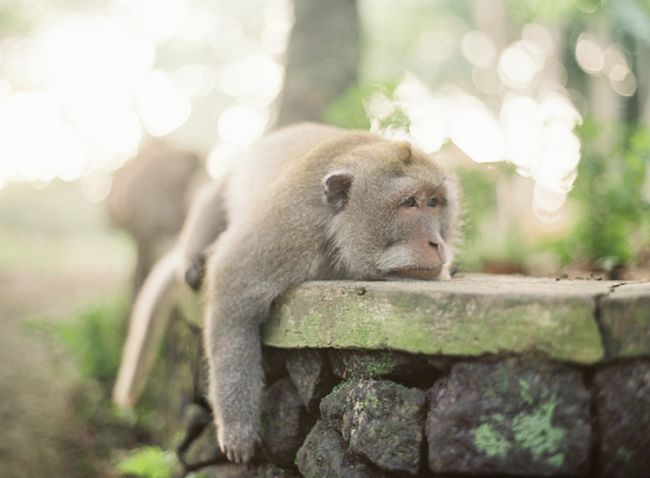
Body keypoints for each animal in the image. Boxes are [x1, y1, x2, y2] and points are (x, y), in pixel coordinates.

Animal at [114, 123, 458, 464]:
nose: (436, 243)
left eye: (434, 202)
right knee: (212, 196)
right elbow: (231, 284)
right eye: (409, 203)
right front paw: (237, 427)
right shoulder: (290, 227)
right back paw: (194, 260)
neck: (336, 230)